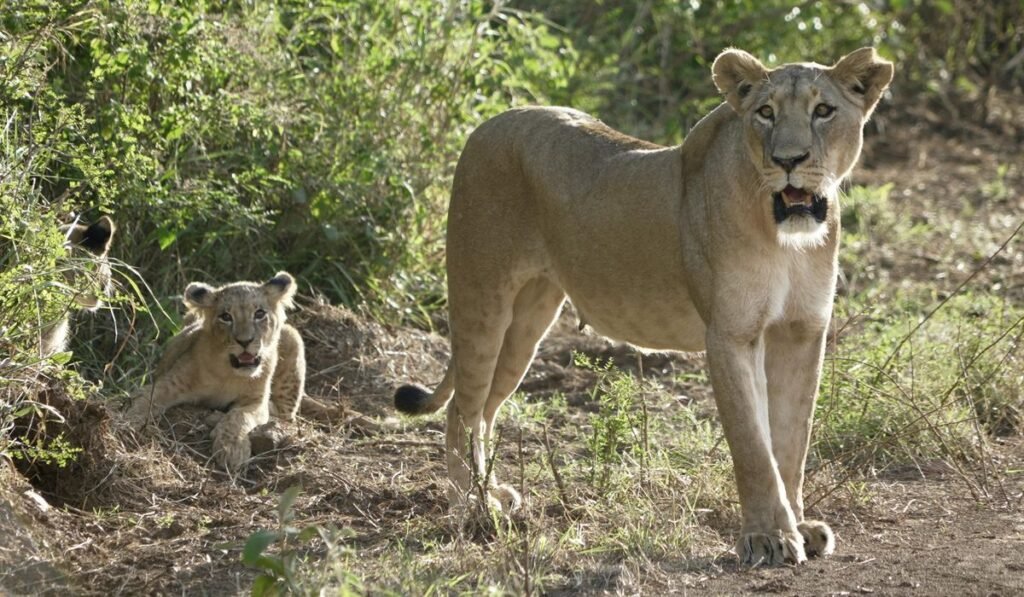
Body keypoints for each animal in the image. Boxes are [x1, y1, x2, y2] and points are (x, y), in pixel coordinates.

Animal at [125, 271, 307, 471]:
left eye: (259, 314)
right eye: (226, 317)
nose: (245, 341)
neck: (228, 373)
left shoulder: (256, 401)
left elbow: (238, 416)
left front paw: (232, 450)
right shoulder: (171, 383)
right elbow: (145, 400)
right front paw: (125, 421)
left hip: (292, 336)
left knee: (286, 414)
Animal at [393, 47, 894, 566]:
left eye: (824, 111)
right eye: (765, 112)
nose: (788, 160)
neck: (787, 240)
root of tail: (488, 123)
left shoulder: (802, 332)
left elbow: (792, 442)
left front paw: (800, 525)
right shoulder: (731, 334)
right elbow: (754, 446)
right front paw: (768, 537)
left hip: (527, 321)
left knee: (486, 409)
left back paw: (492, 493)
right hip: (481, 297)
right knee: (461, 409)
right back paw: (473, 508)